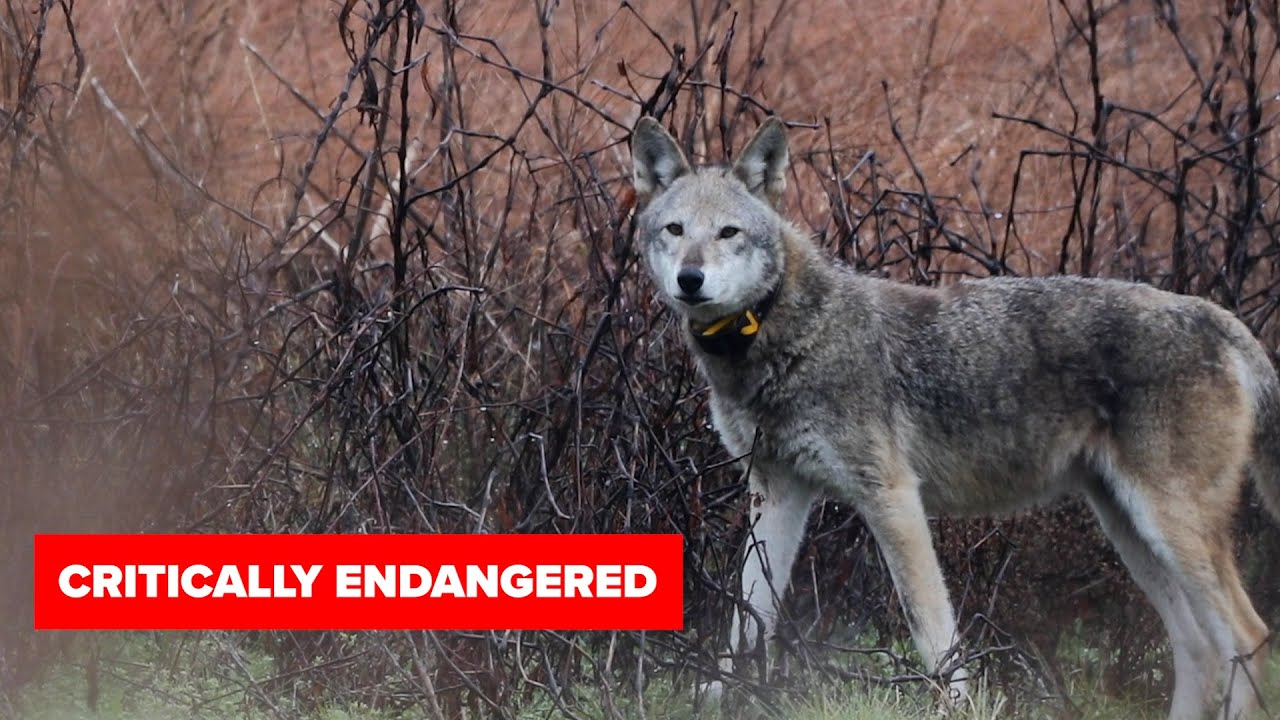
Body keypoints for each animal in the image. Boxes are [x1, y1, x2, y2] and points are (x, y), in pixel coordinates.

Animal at [630, 115, 1280, 719]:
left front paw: (956, 707)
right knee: (1199, 646)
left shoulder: (892, 497)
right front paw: (723, 694)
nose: (691, 279)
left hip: (1168, 528)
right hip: (1132, 531)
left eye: (729, 232)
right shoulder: (777, 491)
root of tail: (1221, 318)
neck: (779, 331)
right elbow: (746, 616)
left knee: (1248, 634)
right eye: (676, 230)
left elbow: (932, 629)